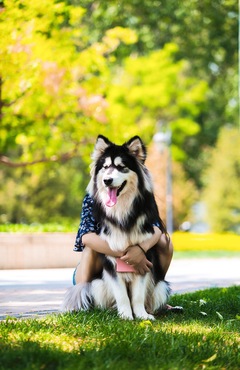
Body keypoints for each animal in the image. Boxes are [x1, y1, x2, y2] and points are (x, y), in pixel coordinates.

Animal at [62, 134, 171, 320]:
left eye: (121, 167)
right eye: (106, 167)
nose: (107, 180)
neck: (121, 210)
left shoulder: (144, 259)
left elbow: (138, 295)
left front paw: (141, 315)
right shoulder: (111, 262)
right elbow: (122, 295)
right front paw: (126, 316)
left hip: (160, 287)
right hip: (97, 285)